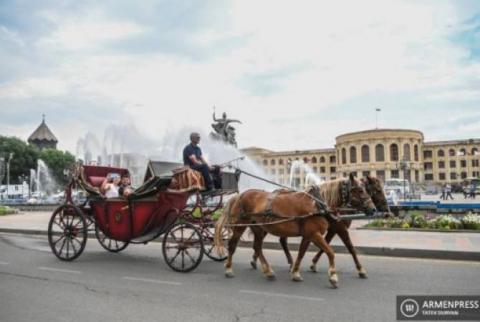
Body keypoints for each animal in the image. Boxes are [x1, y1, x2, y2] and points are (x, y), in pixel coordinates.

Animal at [214, 175, 376, 288]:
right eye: (360, 190)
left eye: (367, 189)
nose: (374, 209)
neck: (317, 204)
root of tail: (239, 195)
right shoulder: (316, 233)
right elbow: (331, 252)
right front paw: (333, 276)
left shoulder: (309, 234)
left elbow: (302, 252)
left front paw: (296, 271)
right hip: (240, 225)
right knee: (233, 245)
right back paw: (228, 269)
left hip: (259, 228)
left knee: (257, 246)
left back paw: (268, 270)